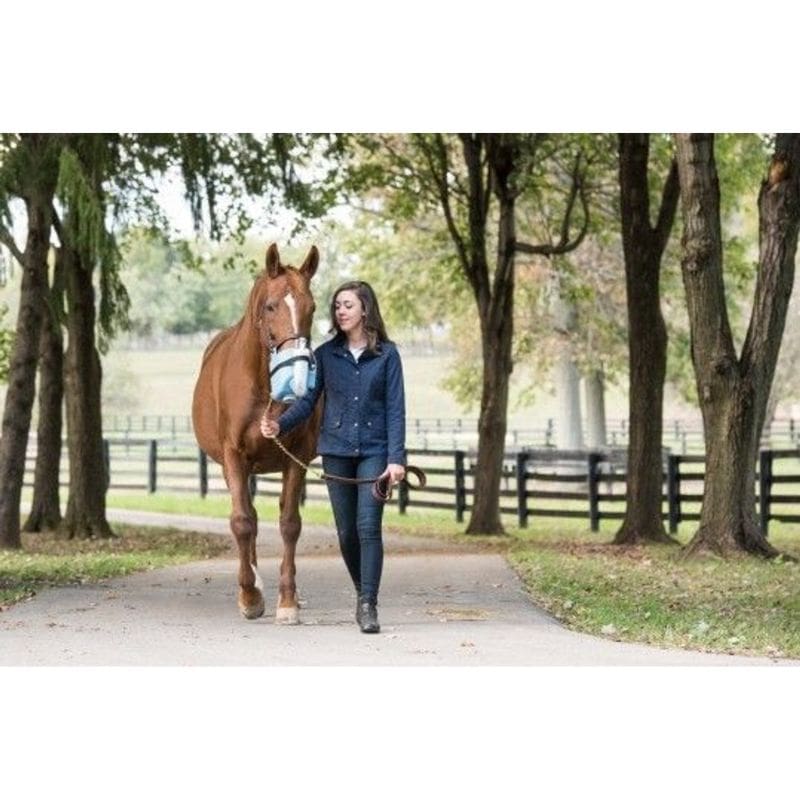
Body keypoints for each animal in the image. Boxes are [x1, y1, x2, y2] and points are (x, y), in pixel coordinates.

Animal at [192, 243, 322, 623]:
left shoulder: (297, 457)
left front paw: (288, 601)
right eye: (271, 306)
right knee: (246, 518)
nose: (297, 375)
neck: (263, 385)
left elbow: (290, 524)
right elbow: (242, 522)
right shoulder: (235, 456)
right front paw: (250, 596)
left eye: (312, 307)